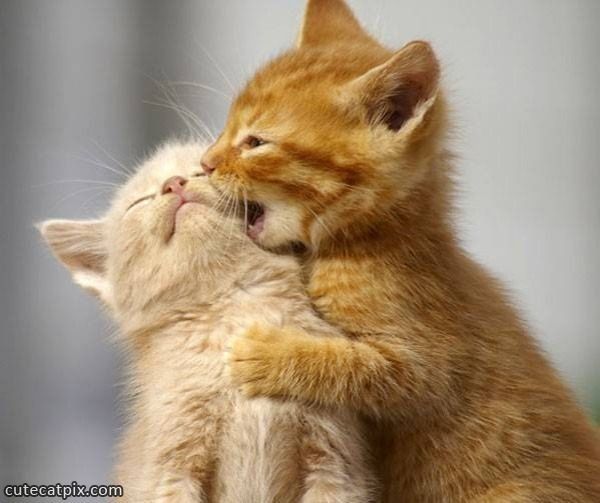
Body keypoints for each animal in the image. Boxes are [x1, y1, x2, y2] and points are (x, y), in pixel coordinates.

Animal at [39, 141, 377, 503]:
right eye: (138, 203)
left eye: (202, 171)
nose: (173, 183)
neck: (236, 307)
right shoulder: (170, 469)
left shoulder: (336, 465)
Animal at [201, 0, 600, 501]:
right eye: (226, 128)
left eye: (256, 142)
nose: (205, 162)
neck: (369, 239)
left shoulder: (427, 365)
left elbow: (362, 371)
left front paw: (266, 352)